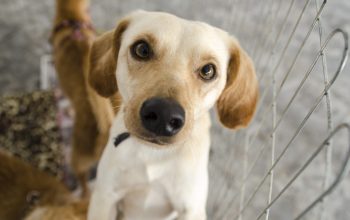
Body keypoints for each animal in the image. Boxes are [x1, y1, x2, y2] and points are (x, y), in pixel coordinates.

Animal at [87, 11, 258, 220]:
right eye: (142, 49)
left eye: (208, 70)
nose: (163, 115)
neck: (152, 154)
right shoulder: (105, 196)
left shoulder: (192, 209)